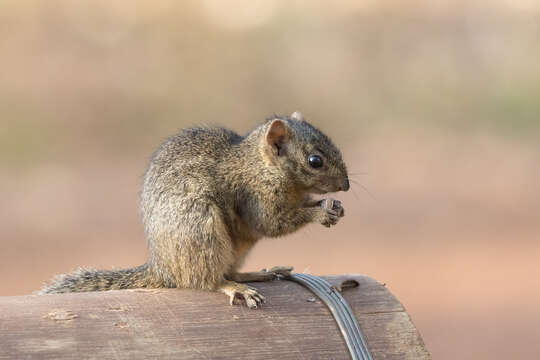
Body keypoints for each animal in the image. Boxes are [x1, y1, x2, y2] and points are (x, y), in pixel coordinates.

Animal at [38, 111, 350, 308]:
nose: (346, 185)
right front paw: (320, 212)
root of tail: (162, 269)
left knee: (228, 270)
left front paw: (333, 206)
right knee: (205, 280)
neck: (259, 165)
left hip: (231, 247)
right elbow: (273, 223)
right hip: (202, 231)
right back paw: (235, 288)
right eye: (315, 161)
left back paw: (257, 274)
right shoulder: (255, 197)